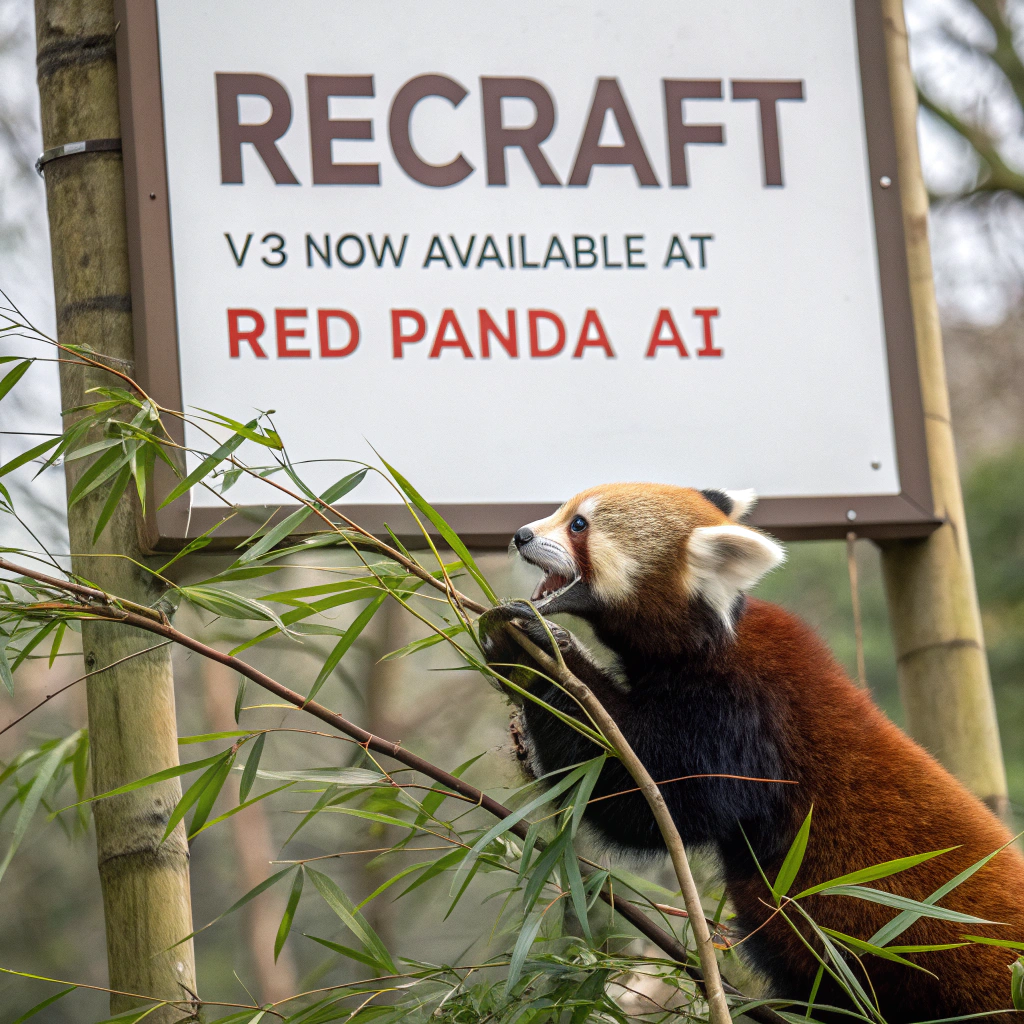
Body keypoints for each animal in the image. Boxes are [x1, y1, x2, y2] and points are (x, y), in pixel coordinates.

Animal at [478, 482, 1024, 1021]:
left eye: (579, 525)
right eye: (563, 510)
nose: (521, 534)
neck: (707, 637)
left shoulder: (743, 714)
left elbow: (652, 798)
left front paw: (537, 652)